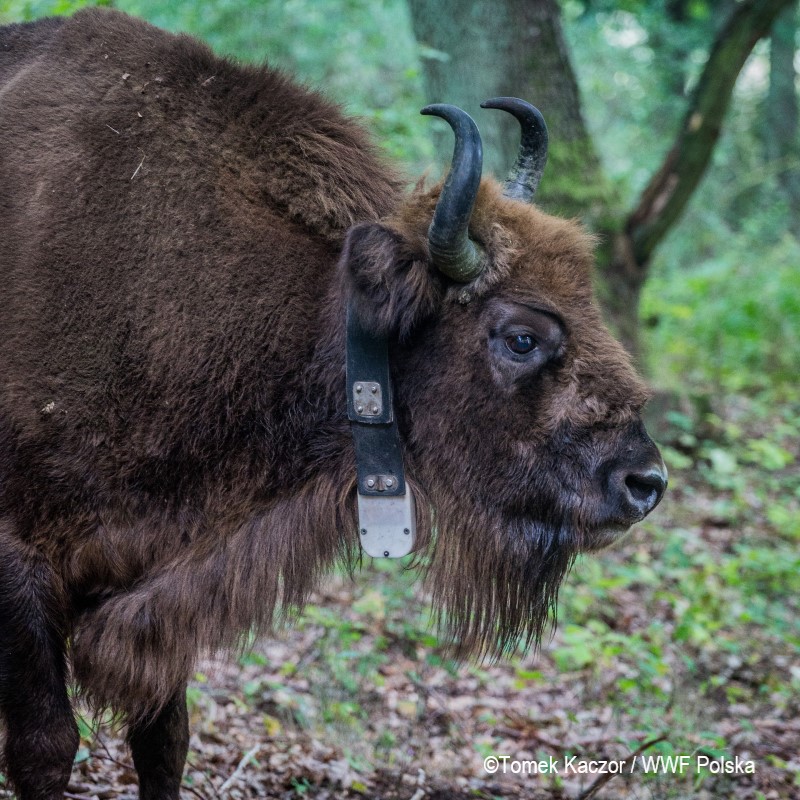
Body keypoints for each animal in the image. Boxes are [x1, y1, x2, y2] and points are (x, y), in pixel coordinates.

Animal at [0, 7, 664, 800]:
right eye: (522, 337)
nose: (644, 482)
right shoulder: (21, 569)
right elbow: (46, 745)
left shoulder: (160, 589)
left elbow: (163, 737)